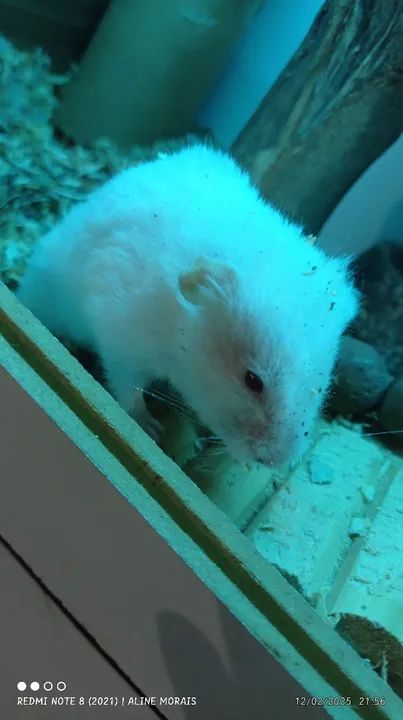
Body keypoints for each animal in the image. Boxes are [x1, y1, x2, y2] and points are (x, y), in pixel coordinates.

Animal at [17, 144, 359, 467]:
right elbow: (127, 388)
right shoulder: (121, 340)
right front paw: (151, 429)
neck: (180, 335)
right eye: (252, 380)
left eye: (322, 383)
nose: (277, 462)